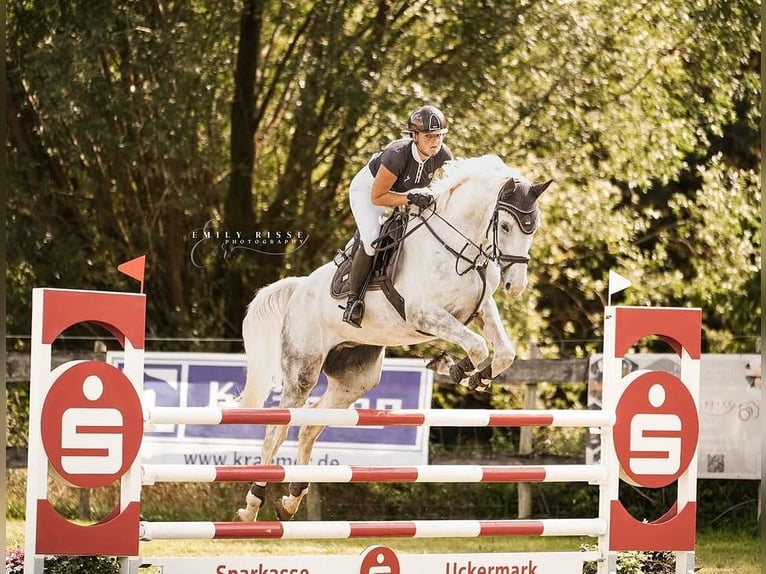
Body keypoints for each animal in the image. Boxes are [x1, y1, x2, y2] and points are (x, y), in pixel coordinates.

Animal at [235, 154, 551, 522]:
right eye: (506, 227)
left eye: (534, 228)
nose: (515, 286)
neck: (459, 245)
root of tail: (299, 288)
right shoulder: (423, 314)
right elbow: (476, 345)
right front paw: (459, 370)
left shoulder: (479, 310)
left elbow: (504, 352)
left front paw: (479, 376)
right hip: (302, 370)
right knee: (277, 431)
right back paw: (251, 507)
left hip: (355, 378)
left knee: (311, 426)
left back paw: (291, 500)